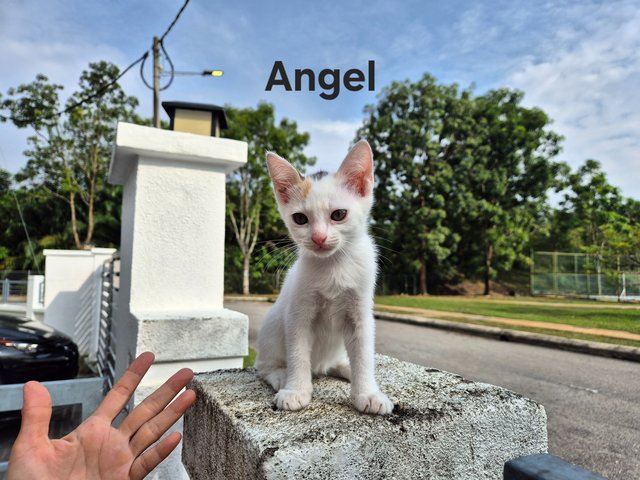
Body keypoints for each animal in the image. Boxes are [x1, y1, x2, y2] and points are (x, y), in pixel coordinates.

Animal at [254, 138, 392, 412]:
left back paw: (345, 368)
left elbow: (363, 354)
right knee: (263, 366)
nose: (318, 237)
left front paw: (368, 392)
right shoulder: (297, 312)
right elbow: (297, 352)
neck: (333, 266)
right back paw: (281, 375)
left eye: (338, 214)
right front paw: (296, 390)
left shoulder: (360, 312)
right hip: (273, 325)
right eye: (300, 218)